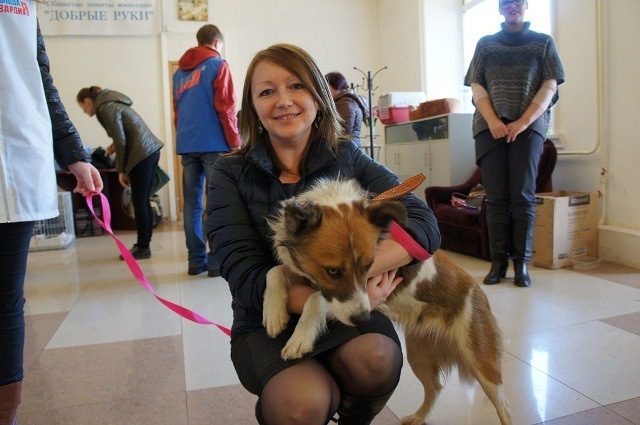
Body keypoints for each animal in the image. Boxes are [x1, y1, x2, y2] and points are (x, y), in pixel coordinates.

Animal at [262, 178, 512, 424]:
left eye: (368, 265)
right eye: (333, 271)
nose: (363, 318)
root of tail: (481, 296)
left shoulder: (367, 286)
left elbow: (316, 298)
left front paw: (300, 338)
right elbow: (274, 272)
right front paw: (273, 313)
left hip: (482, 363)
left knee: (504, 408)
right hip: (419, 355)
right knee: (435, 387)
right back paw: (420, 417)